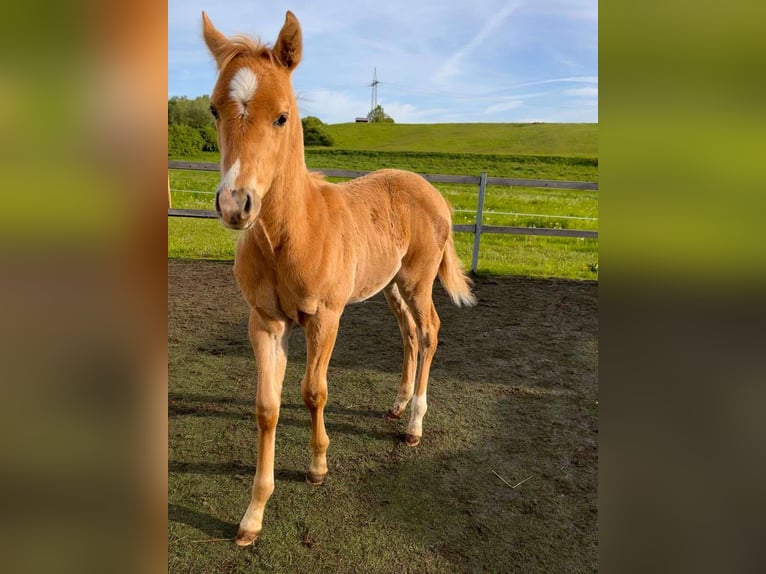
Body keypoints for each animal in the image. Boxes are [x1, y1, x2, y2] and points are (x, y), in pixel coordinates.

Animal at [202, 11, 480, 548]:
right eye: (213, 110)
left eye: (282, 115)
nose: (235, 205)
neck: (289, 233)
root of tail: (432, 191)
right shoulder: (264, 322)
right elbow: (266, 406)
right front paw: (252, 516)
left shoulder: (324, 317)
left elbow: (314, 391)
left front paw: (317, 466)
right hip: (390, 285)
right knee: (408, 334)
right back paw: (397, 404)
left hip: (417, 281)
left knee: (430, 331)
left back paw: (414, 423)